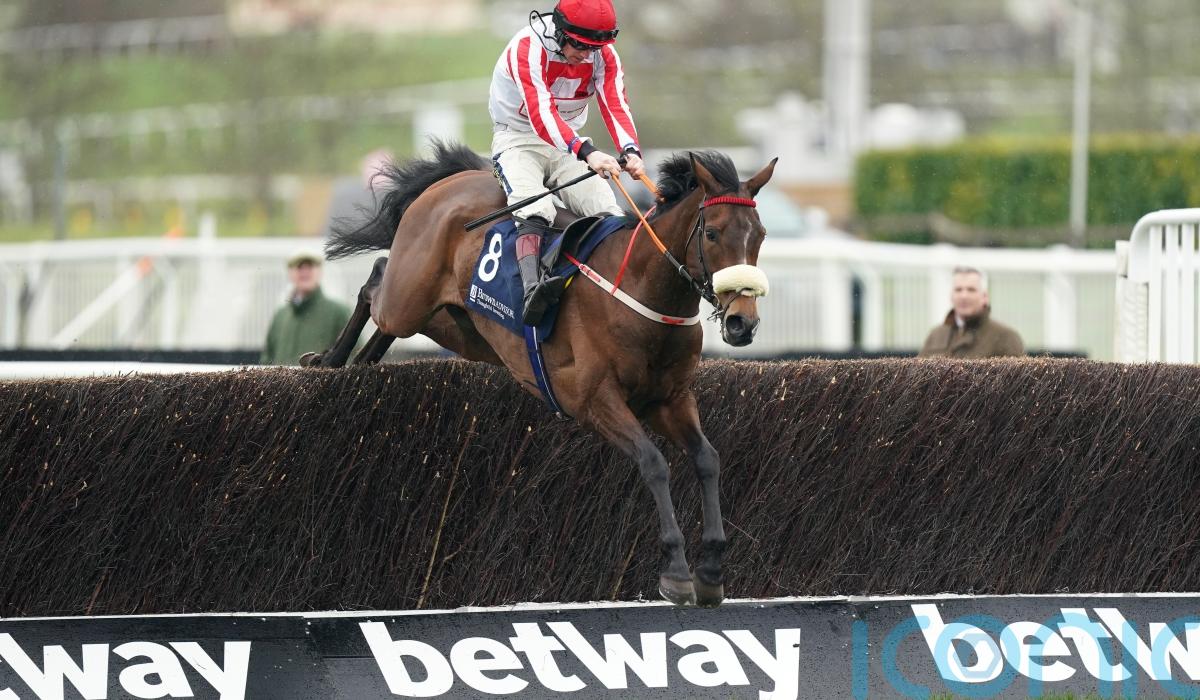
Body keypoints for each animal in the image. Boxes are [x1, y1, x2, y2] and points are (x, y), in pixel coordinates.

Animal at [305, 141, 776, 607]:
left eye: (760, 235)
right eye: (712, 233)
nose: (742, 323)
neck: (642, 291)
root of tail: (455, 180)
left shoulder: (671, 399)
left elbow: (707, 459)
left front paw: (711, 571)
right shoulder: (595, 400)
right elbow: (654, 463)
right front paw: (677, 573)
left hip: (461, 326)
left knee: (389, 312)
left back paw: (361, 362)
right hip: (409, 298)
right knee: (375, 282)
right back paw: (329, 359)